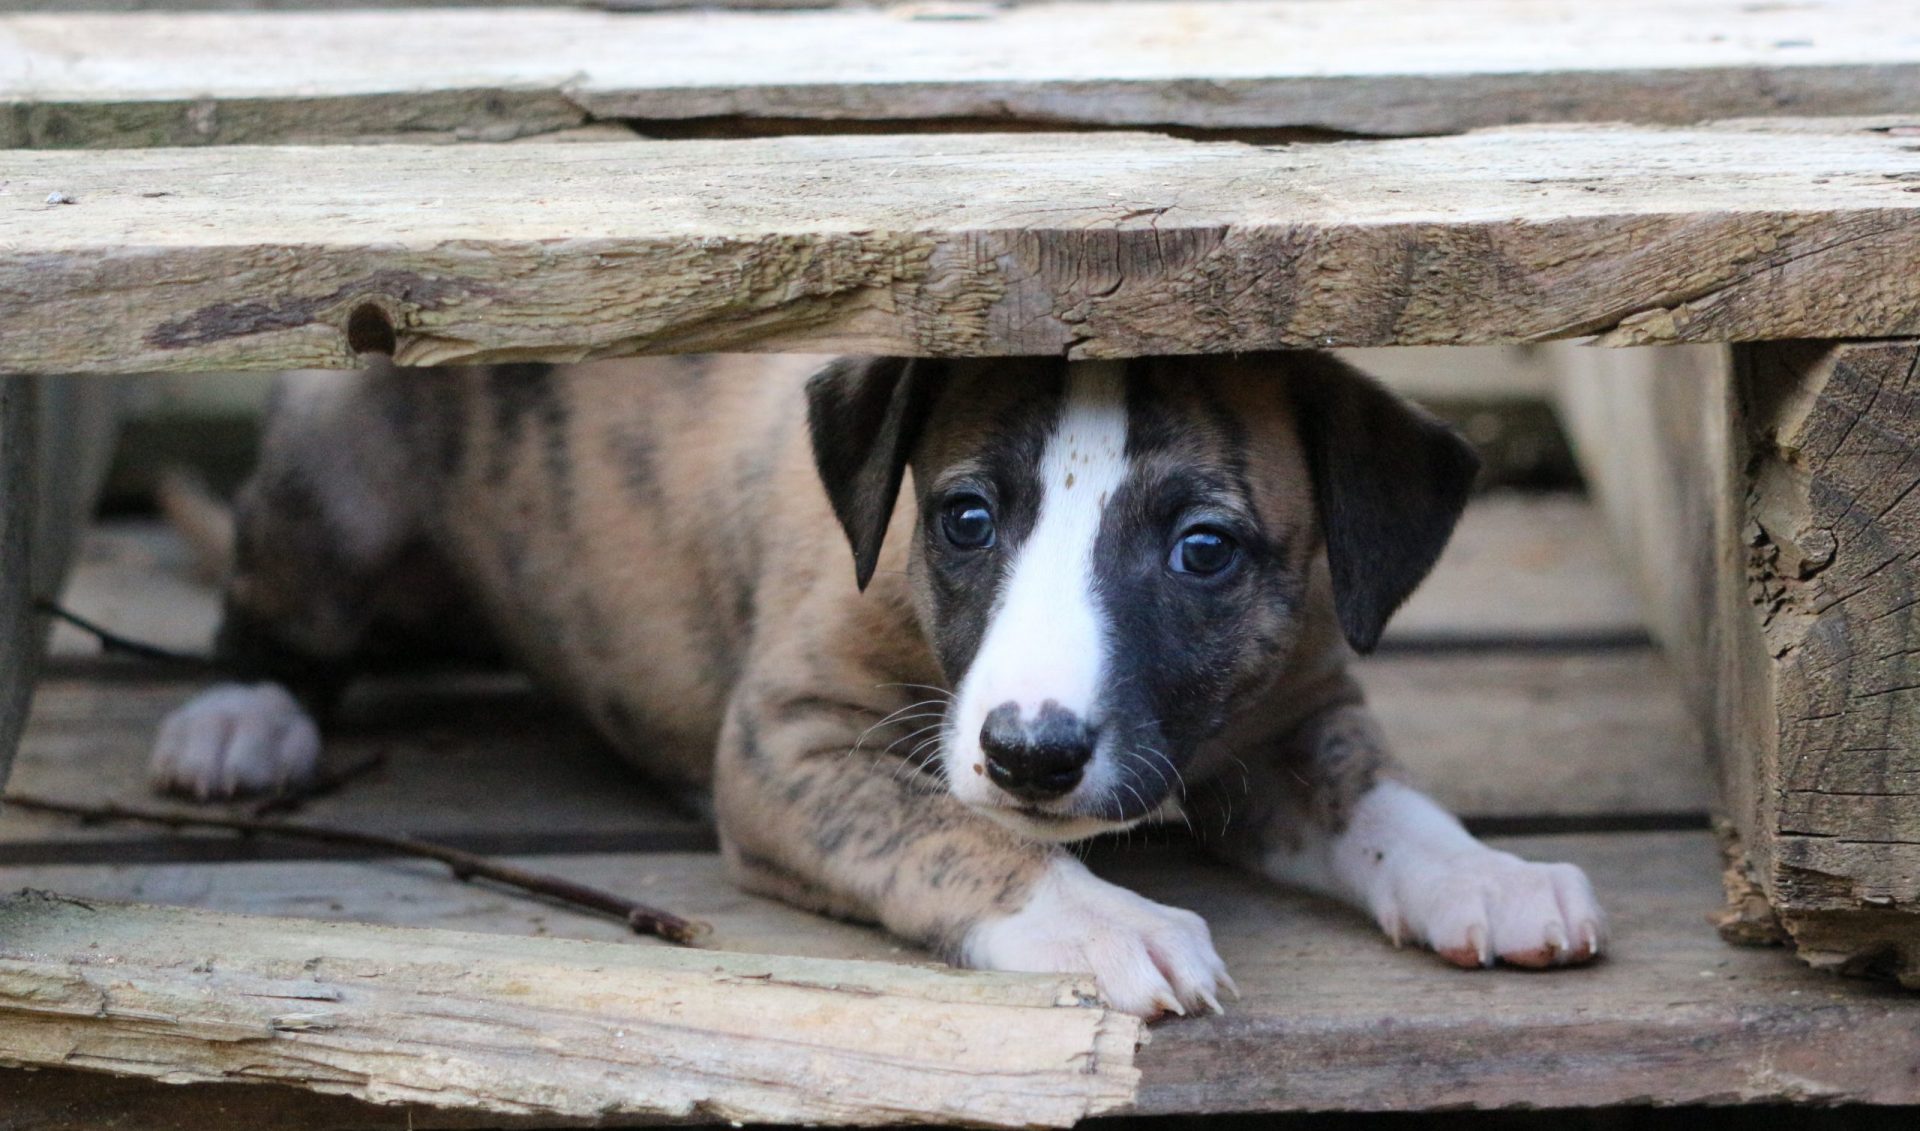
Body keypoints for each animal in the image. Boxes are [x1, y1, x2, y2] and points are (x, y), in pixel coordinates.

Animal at [153, 353, 1605, 1013]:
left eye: (1205, 549)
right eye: (965, 519)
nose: (1031, 753)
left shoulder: (1294, 714)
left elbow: (1384, 802)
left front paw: (1485, 875)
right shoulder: (786, 751)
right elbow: (950, 833)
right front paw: (1101, 923)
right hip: (335, 479)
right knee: (275, 605)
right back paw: (242, 716)